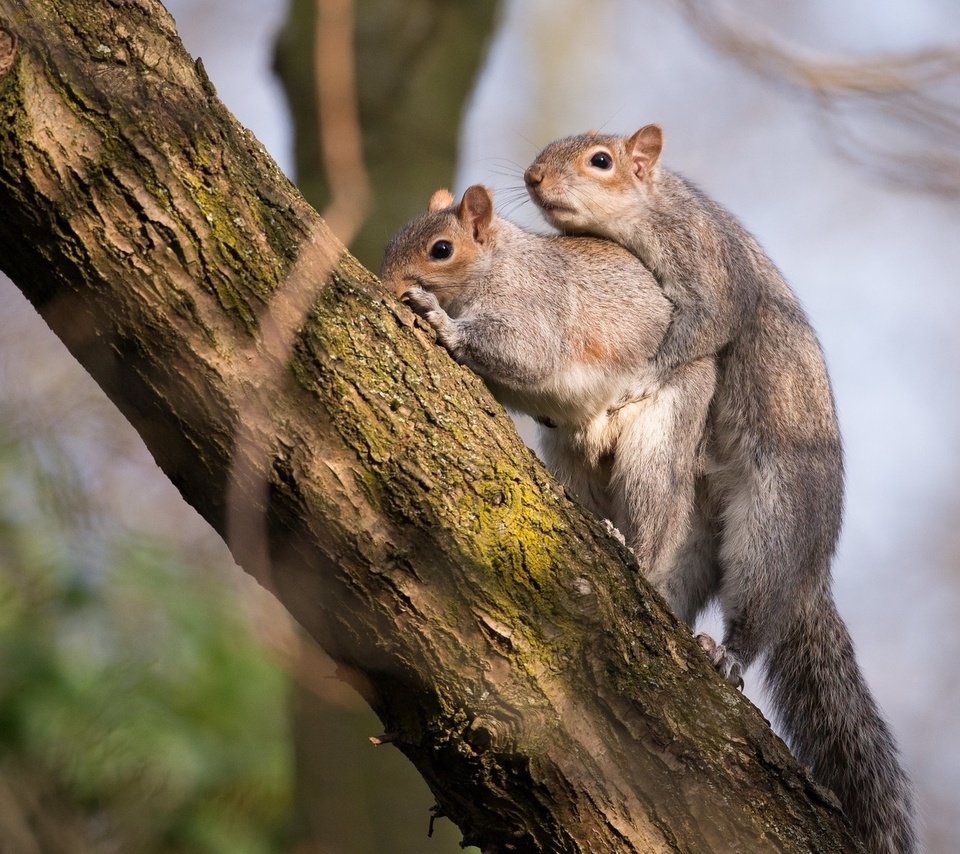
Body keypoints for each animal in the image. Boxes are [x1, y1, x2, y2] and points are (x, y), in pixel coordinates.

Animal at [378, 186, 716, 600]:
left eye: (441, 250)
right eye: (392, 243)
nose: (388, 286)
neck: (497, 262)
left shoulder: (535, 304)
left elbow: (529, 354)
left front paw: (439, 319)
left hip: (664, 427)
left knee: (654, 504)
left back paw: (636, 553)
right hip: (569, 458)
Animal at [524, 123, 916, 852]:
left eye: (601, 161)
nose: (534, 179)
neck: (651, 209)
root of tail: (813, 570)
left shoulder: (708, 268)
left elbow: (697, 332)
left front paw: (640, 378)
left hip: (772, 524)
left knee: (755, 610)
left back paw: (728, 654)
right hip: (694, 537)